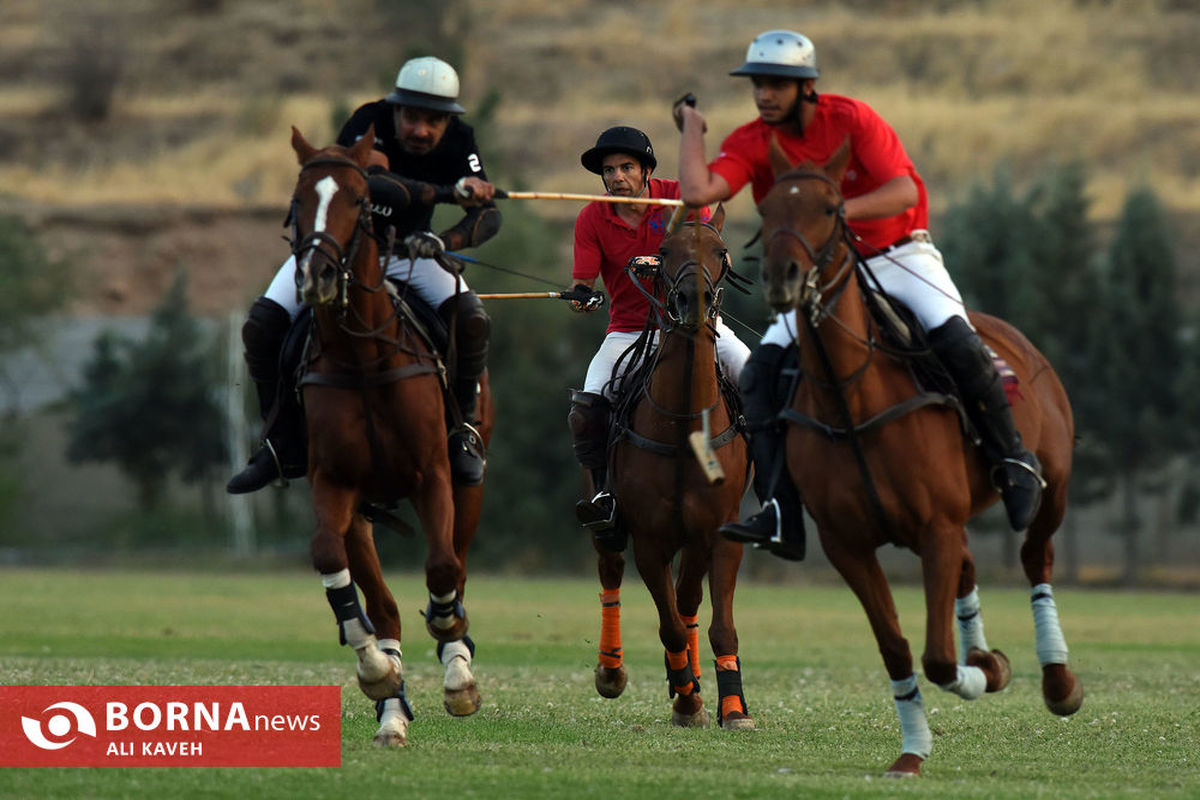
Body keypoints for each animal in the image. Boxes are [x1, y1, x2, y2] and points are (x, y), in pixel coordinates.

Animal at [286, 125, 492, 743]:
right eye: (297, 202)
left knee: (457, 566)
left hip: (468, 481)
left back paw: (456, 654)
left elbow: (444, 568)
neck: (362, 357)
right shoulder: (336, 484)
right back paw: (392, 711)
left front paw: (457, 668)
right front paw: (377, 671)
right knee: (383, 604)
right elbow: (334, 564)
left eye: (359, 200)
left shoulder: (433, 474)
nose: (317, 278)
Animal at [595, 208, 753, 734]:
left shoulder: (715, 532)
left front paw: (728, 706)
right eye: (663, 253)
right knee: (611, 566)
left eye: (721, 251)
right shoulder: (650, 538)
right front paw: (686, 699)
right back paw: (614, 672)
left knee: (694, 606)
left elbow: (710, 621)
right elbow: (669, 626)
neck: (686, 429)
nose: (692, 301)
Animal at [763, 142, 1084, 777]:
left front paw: (984, 674)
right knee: (970, 564)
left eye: (832, 208)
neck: (850, 399)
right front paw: (913, 752)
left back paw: (1058, 680)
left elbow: (937, 657)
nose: (783, 277)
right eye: (764, 208)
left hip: (1052, 484)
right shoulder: (848, 544)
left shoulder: (936, 526)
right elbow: (896, 647)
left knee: (1035, 555)